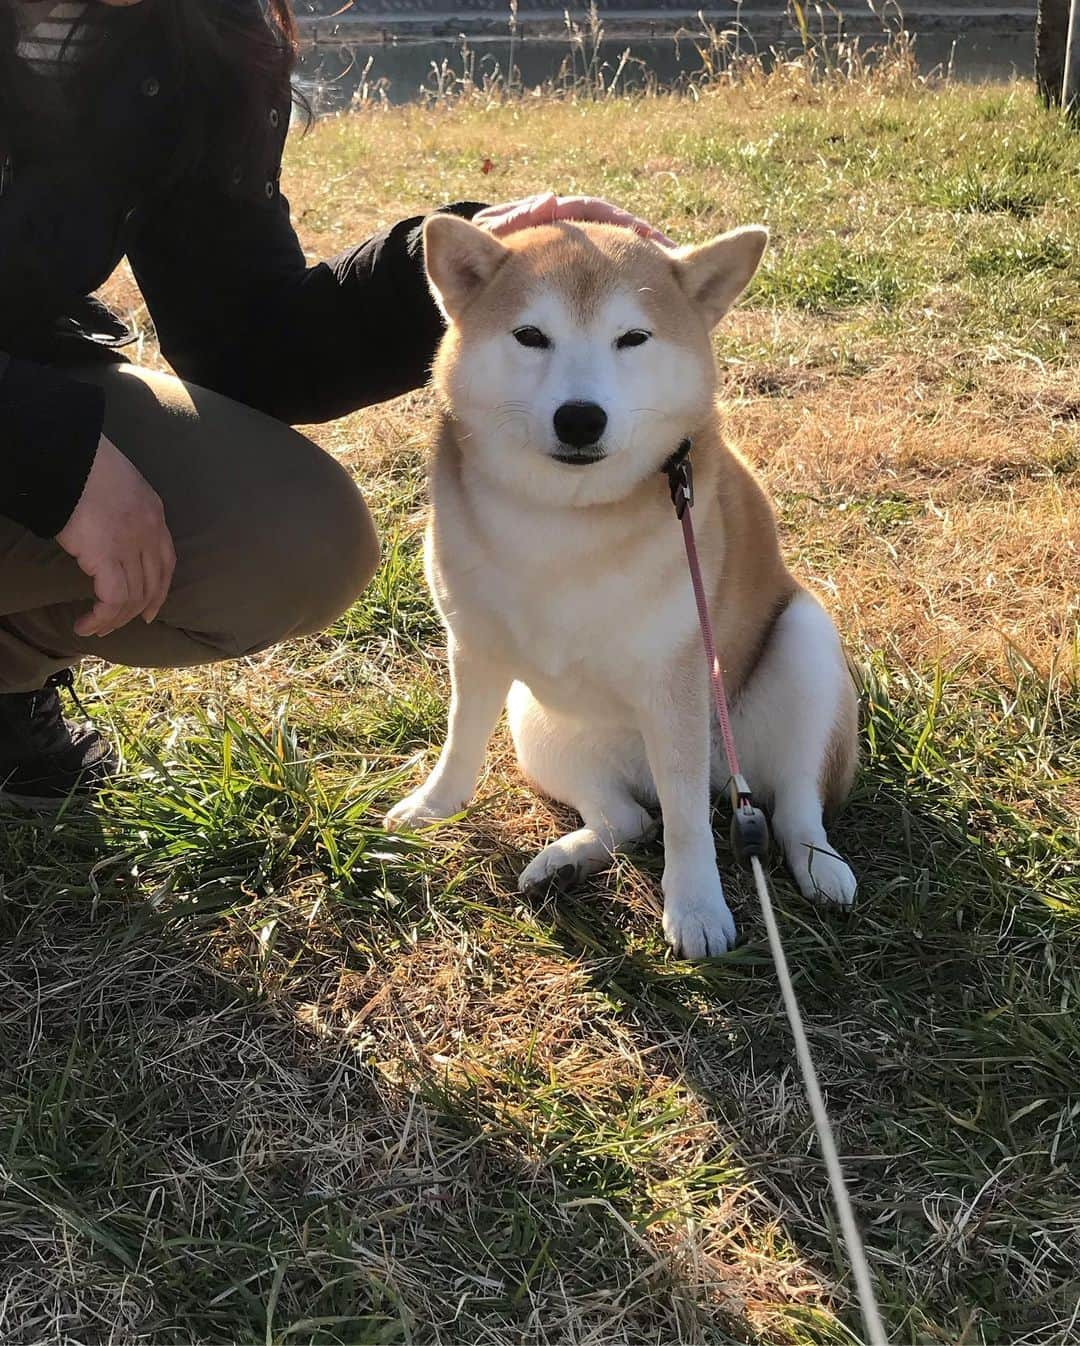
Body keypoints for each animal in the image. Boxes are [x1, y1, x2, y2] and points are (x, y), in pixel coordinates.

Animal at [382, 215, 856, 952]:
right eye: (531, 335)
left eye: (632, 338)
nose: (580, 417)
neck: (566, 522)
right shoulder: (476, 648)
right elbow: (461, 738)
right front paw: (434, 805)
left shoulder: (678, 678)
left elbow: (689, 824)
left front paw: (697, 907)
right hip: (536, 719)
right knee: (630, 820)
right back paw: (565, 861)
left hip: (801, 648)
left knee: (788, 805)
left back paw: (820, 865)